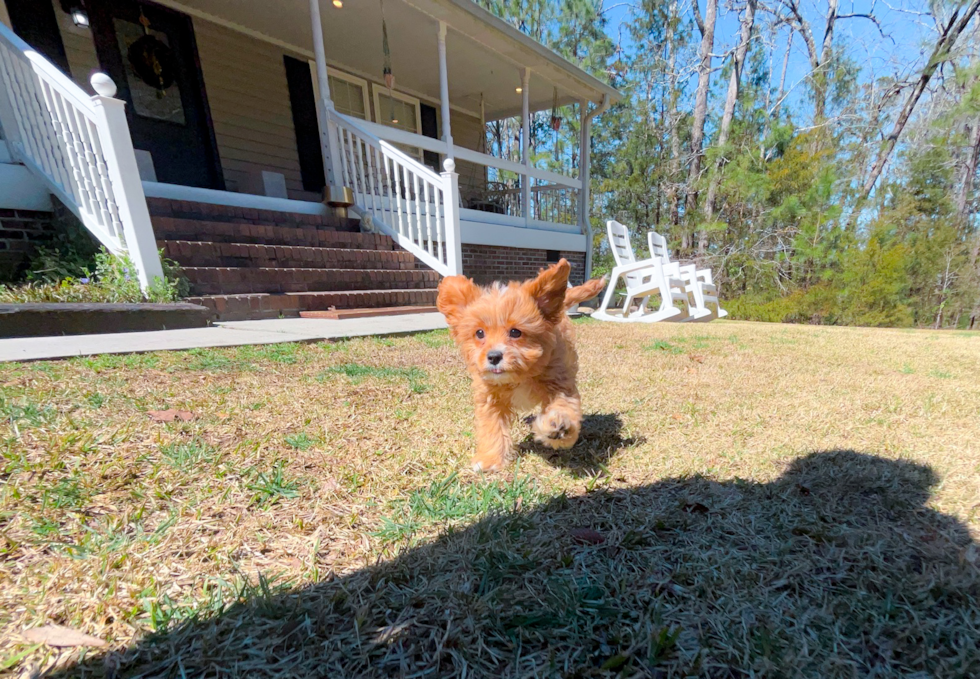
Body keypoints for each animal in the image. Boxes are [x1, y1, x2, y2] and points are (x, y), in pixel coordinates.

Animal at [436, 260, 604, 472]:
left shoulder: (560, 383)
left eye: (516, 332)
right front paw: (490, 459)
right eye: (479, 333)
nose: (493, 356)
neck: (519, 375)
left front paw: (557, 426)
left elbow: (564, 405)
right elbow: (491, 427)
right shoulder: (489, 398)